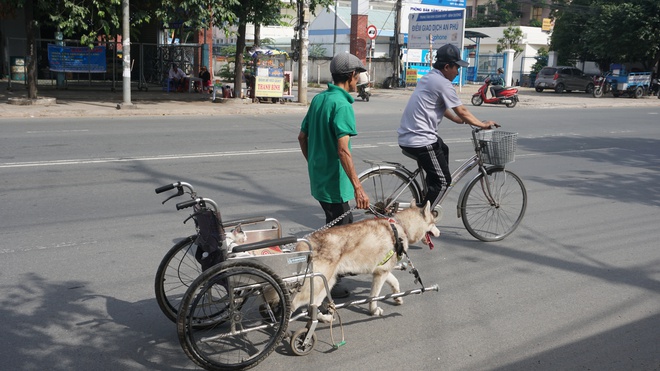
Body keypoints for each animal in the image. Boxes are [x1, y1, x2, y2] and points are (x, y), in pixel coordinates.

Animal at [292, 202, 440, 322]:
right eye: (434, 223)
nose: (439, 233)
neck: (400, 227)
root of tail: (307, 243)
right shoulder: (381, 274)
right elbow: (373, 296)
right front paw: (373, 310)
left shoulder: (381, 270)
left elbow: (395, 282)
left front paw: (397, 297)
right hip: (315, 286)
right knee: (294, 304)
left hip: (326, 284)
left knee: (312, 308)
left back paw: (324, 318)